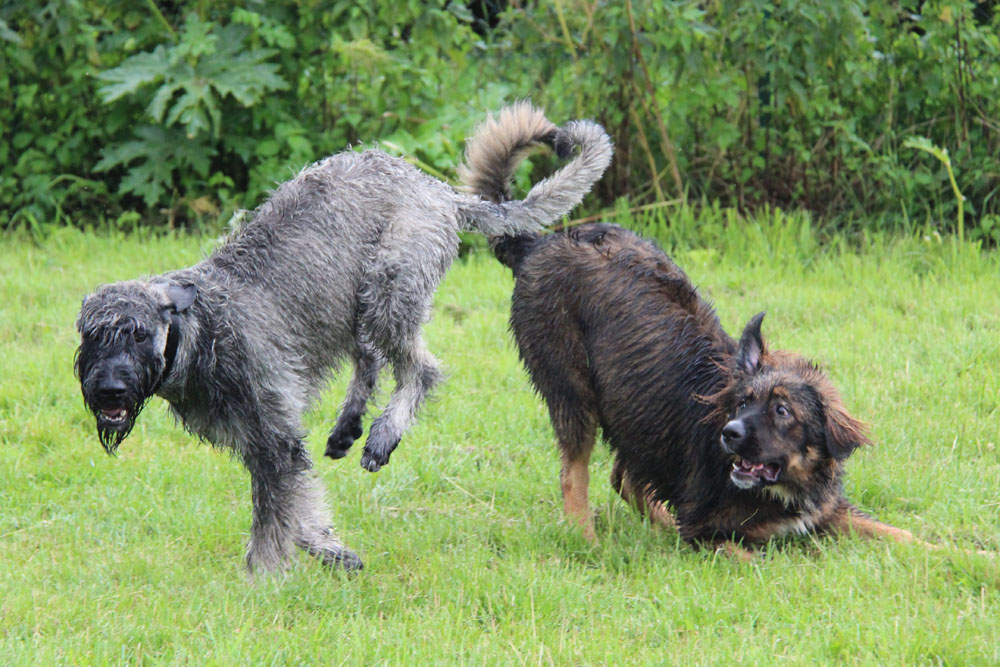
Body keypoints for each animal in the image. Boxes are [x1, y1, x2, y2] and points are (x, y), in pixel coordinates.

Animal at [74, 104, 612, 576]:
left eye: (139, 333)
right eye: (90, 336)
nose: (109, 390)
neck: (201, 333)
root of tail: (438, 190)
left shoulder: (274, 438)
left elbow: (275, 517)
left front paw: (263, 580)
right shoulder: (263, 443)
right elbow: (300, 504)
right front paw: (332, 550)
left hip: (388, 289)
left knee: (419, 368)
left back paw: (382, 435)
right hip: (349, 304)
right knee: (369, 359)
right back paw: (347, 427)